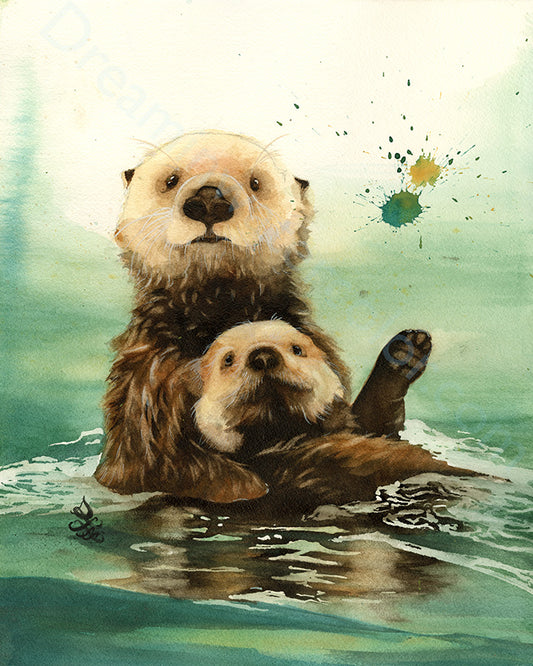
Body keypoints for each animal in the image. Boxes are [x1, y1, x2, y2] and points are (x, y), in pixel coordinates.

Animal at [95, 130, 430, 503]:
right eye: (171, 181)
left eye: (255, 183)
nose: (209, 199)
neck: (220, 307)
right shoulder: (146, 379)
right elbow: (163, 462)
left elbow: (366, 425)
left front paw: (405, 350)